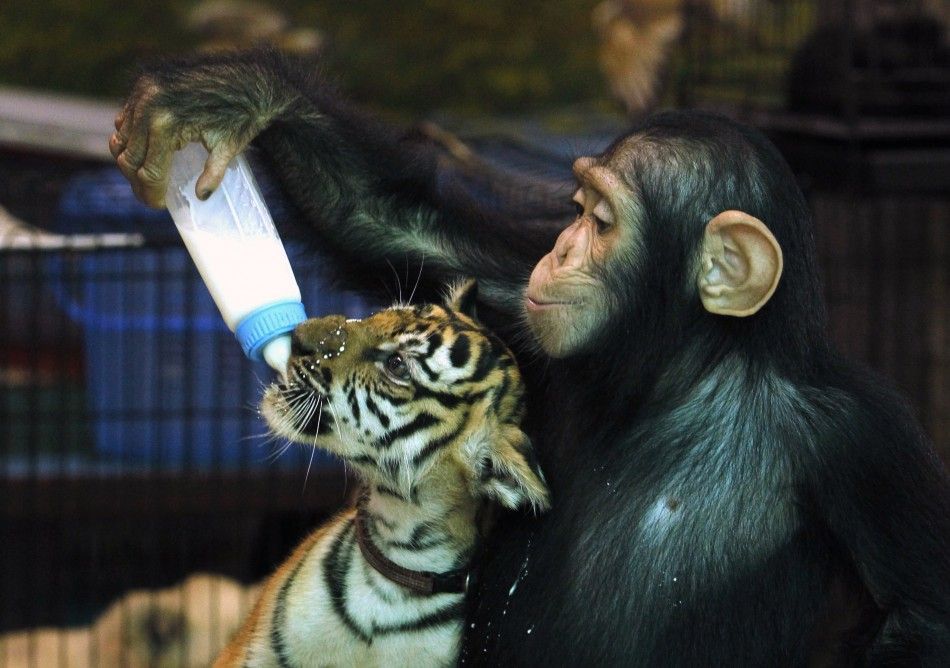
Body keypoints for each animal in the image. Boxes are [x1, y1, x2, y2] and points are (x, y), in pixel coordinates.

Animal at [111, 51, 950, 664]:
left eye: (603, 221)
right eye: (575, 210)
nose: (561, 249)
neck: (680, 374)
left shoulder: (859, 439)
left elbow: (921, 613)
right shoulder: (517, 299)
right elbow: (390, 218)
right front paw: (223, 96)